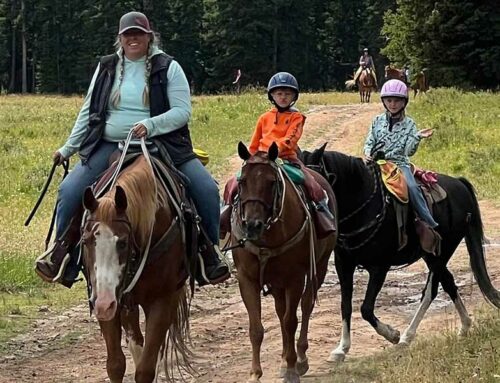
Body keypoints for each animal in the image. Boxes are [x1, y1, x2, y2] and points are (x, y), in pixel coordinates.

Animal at [82, 156, 191, 383]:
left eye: (123, 243)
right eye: (85, 241)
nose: (104, 303)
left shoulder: (162, 300)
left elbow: (146, 369)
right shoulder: (110, 302)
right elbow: (115, 364)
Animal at [230, 143, 336, 383]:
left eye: (272, 182)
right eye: (242, 182)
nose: (252, 225)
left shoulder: (294, 278)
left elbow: (291, 321)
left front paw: (291, 369)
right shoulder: (246, 279)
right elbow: (256, 328)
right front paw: (255, 373)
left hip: (319, 267)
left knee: (305, 306)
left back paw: (300, 358)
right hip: (277, 283)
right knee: (280, 311)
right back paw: (284, 359)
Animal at [300, 144, 500, 364]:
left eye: (314, 178)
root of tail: (459, 183)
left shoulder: (379, 267)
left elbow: (366, 309)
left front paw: (392, 334)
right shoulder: (343, 264)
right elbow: (346, 305)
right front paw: (341, 349)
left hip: (441, 253)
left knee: (432, 290)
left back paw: (407, 336)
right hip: (431, 255)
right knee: (447, 282)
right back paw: (461, 326)